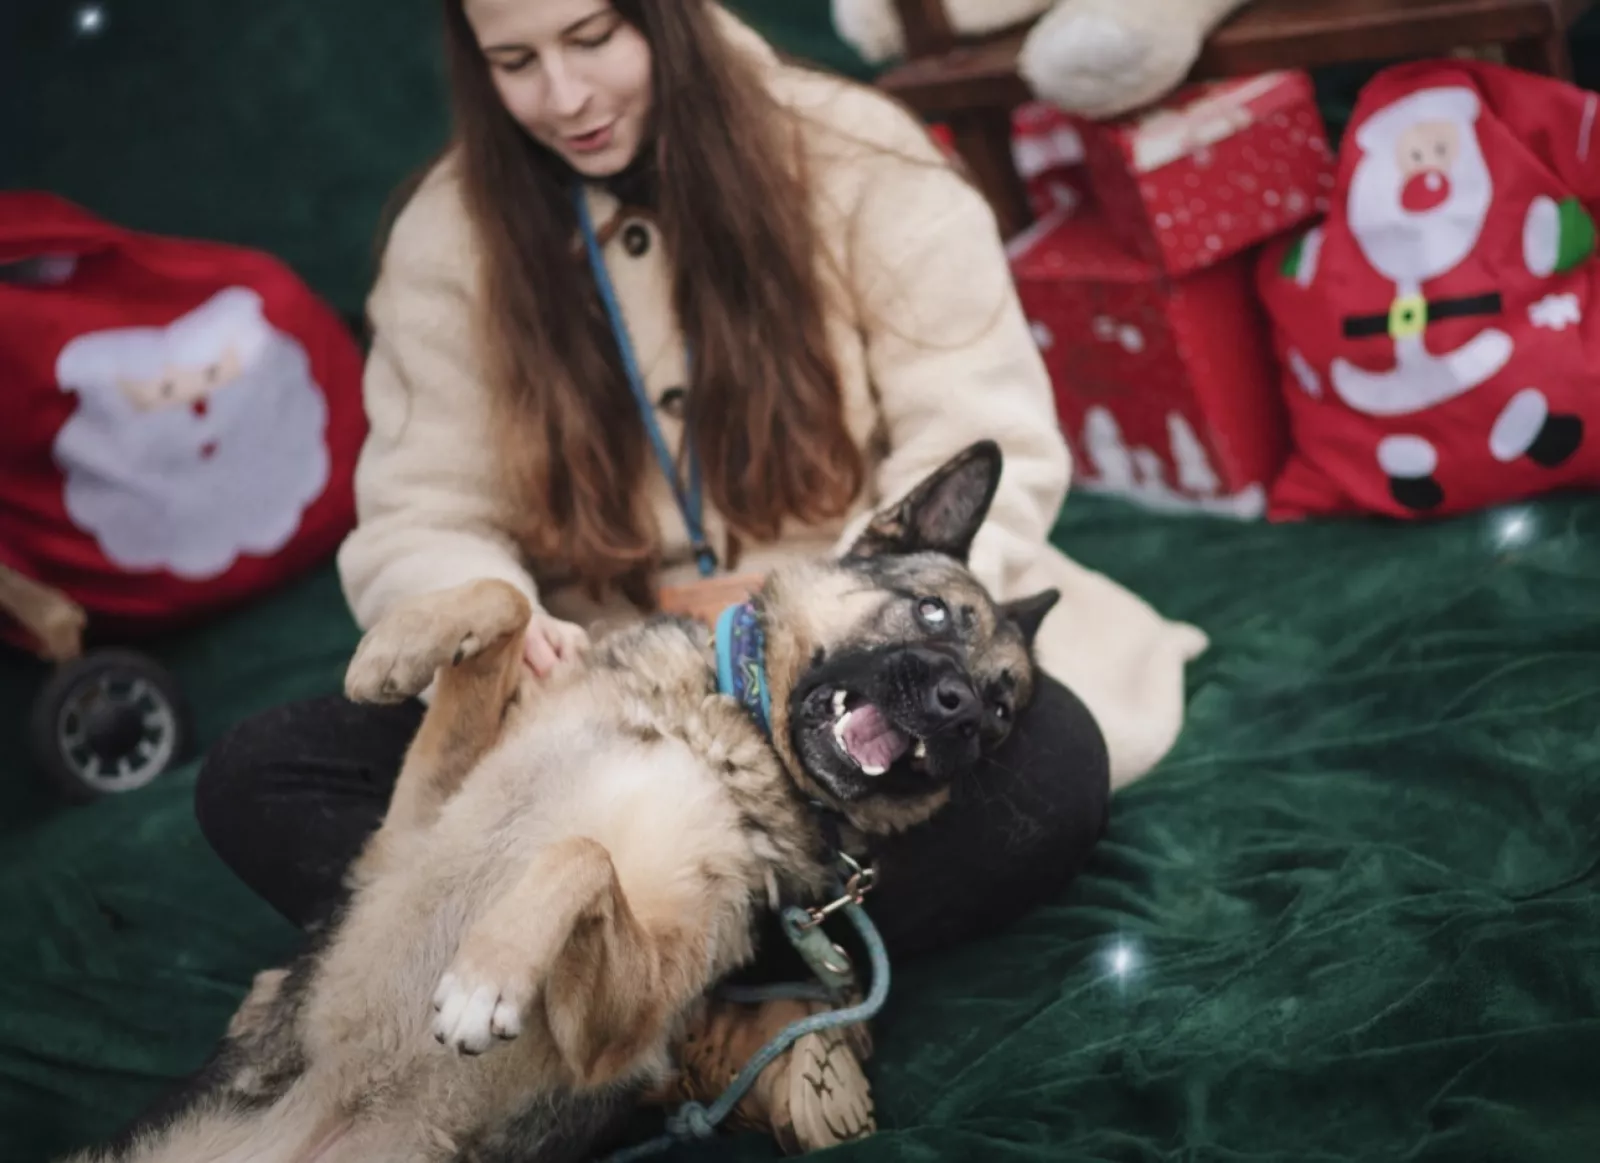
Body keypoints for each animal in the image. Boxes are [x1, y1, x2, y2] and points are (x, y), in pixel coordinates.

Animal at [70, 440, 1060, 1163]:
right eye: (933, 615)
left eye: (1000, 716)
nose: (960, 711)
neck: (723, 735)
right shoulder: (409, 831)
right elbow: (505, 600)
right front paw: (394, 649)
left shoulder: (619, 1026)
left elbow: (581, 854)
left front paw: (488, 973)